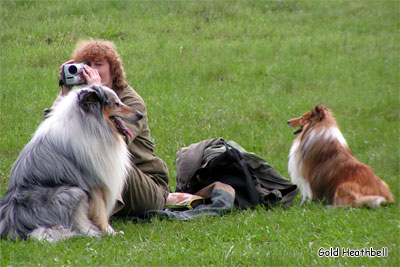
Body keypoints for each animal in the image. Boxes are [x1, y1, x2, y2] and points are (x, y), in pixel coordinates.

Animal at [0, 85, 144, 242]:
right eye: (116, 104)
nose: (140, 115)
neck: (90, 124)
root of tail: (11, 225)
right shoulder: (93, 183)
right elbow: (100, 212)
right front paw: (110, 232)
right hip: (72, 192)